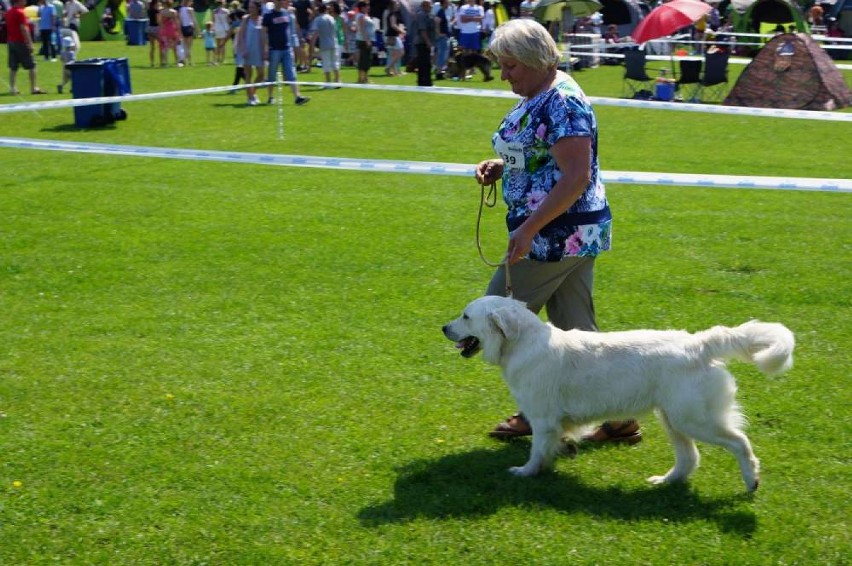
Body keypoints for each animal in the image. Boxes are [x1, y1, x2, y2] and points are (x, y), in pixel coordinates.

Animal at [442, 298, 796, 492]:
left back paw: (751, 481)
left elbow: (536, 451)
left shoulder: (542, 420)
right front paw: (560, 455)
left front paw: (525, 473)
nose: (443, 328)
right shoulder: (552, 423)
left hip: (695, 419)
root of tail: (700, 344)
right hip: (673, 419)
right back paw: (664, 482)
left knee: (740, 443)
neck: (522, 344)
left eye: (465, 316)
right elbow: (554, 445)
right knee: (689, 458)